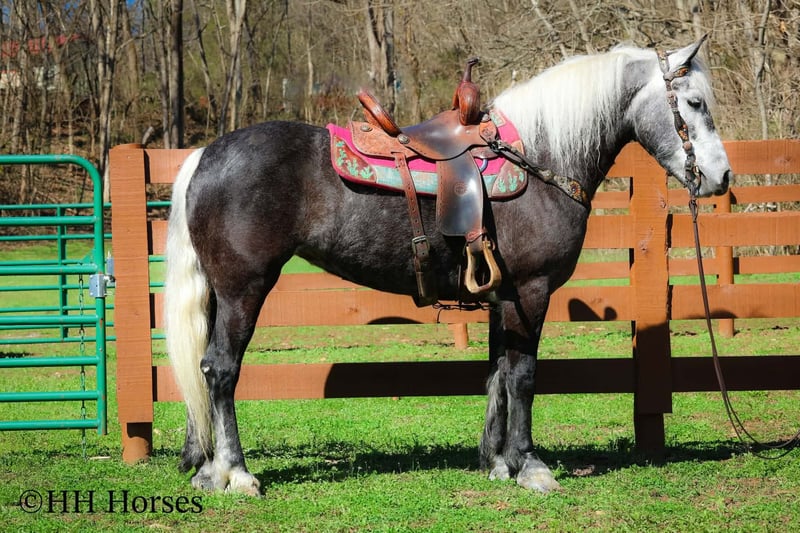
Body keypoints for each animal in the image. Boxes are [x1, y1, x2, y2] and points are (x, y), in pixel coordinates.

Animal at [164, 36, 731, 496]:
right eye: (695, 103)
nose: (721, 177)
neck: (541, 157)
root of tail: (205, 155)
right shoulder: (531, 292)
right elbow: (523, 376)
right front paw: (530, 466)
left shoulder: (503, 296)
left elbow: (498, 373)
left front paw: (497, 463)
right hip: (244, 289)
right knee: (221, 369)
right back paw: (237, 473)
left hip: (221, 294)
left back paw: (210, 470)